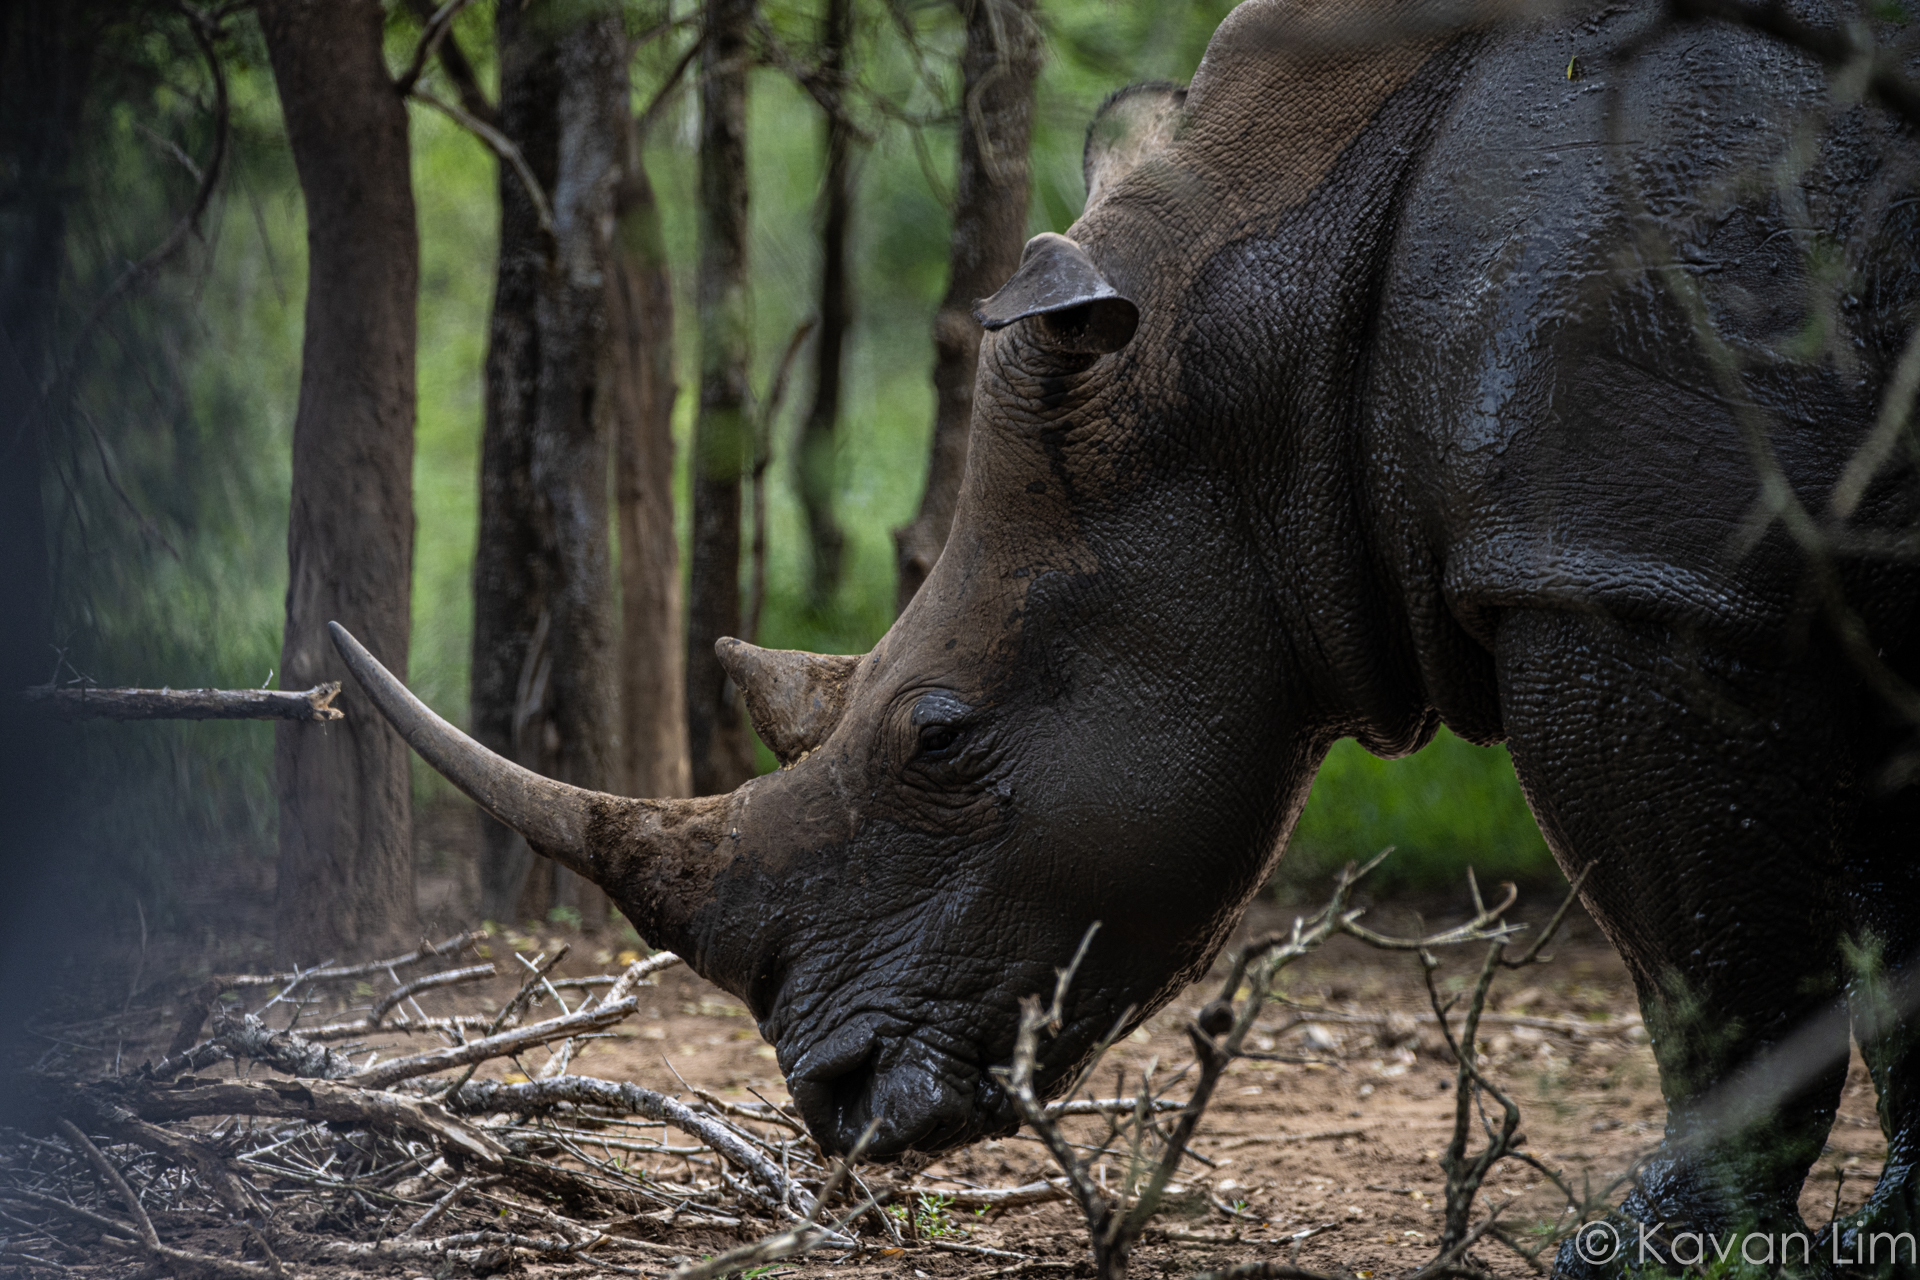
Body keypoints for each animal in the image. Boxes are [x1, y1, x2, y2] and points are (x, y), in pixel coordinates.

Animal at [332, 0, 1920, 1273]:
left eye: (938, 739)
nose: (829, 1095)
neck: (1253, 333)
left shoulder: (1623, 573)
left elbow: (1706, 961)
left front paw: (1639, 1253)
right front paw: (1886, 1232)